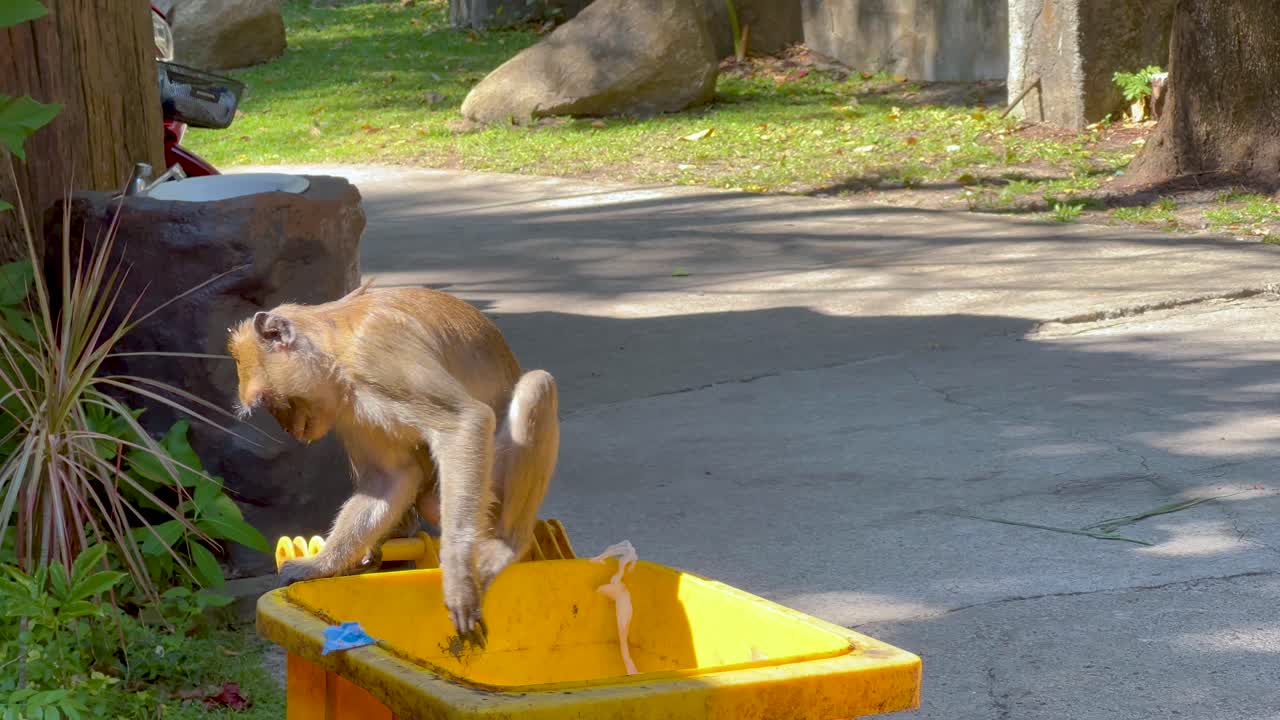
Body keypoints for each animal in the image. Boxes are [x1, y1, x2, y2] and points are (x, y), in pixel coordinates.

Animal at [227, 282, 559, 644]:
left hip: (492, 490)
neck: (336, 347)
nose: (288, 428)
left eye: (273, 401)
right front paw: (321, 564)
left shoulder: (377, 355)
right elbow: (393, 477)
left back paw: (505, 547)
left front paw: (459, 580)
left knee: (536, 386)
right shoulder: (349, 407)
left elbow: (465, 423)